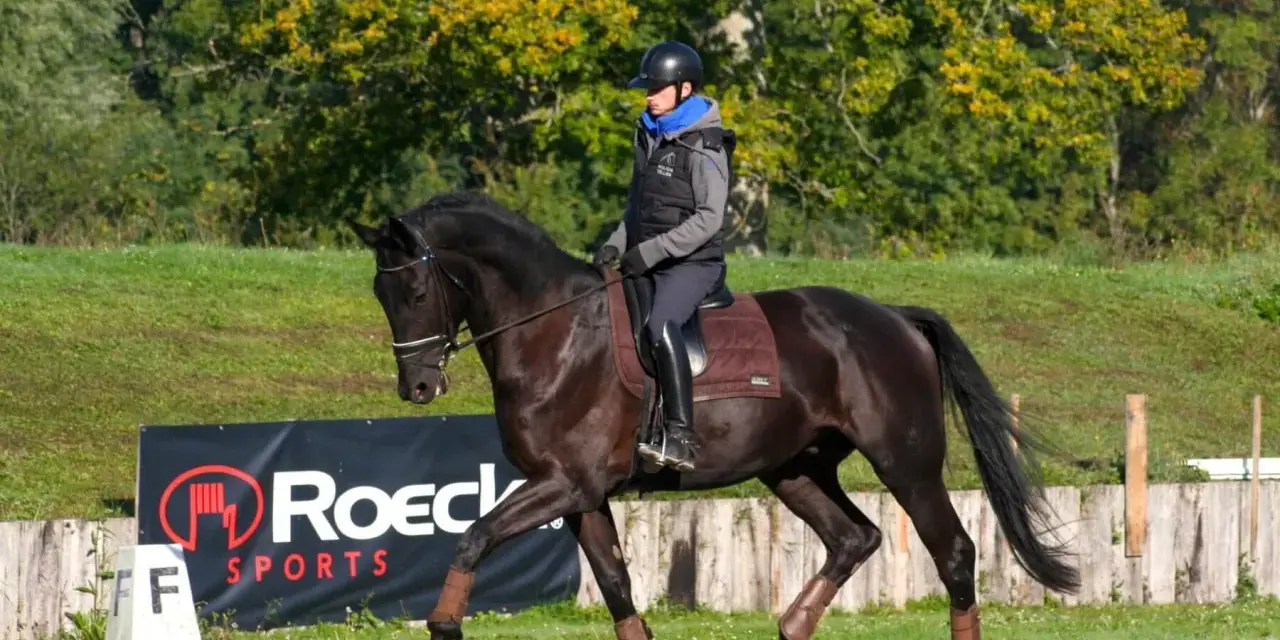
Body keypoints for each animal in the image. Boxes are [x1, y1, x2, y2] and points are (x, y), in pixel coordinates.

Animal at [346, 191, 1079, 640]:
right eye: (380, 293)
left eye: (415, 291)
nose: (417, 387)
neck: (554, 328)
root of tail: (894, 317)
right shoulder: (581, 495)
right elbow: (616, 583)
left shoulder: (564, 484)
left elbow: (474, 534)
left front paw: (444, 621)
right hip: (795, 469)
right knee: (854, 538)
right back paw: (791, 624)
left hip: (908, 465)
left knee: (953, 553)